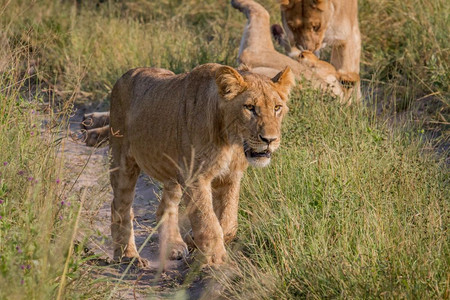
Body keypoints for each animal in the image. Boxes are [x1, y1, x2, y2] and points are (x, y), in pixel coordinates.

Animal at [109, 62, 296, 266]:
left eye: (277, 107)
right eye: (249, 107)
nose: (270, 140)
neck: (230, 141)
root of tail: (124, 76)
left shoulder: (230, 177)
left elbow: (229, 223)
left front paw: (193, 239)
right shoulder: (196, 177)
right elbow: (207, 220)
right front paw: (216, 259)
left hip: (174, 174)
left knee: (164, 207)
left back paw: (174, 246)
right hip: (123, 160)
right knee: (120, 206)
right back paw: (128, 255)